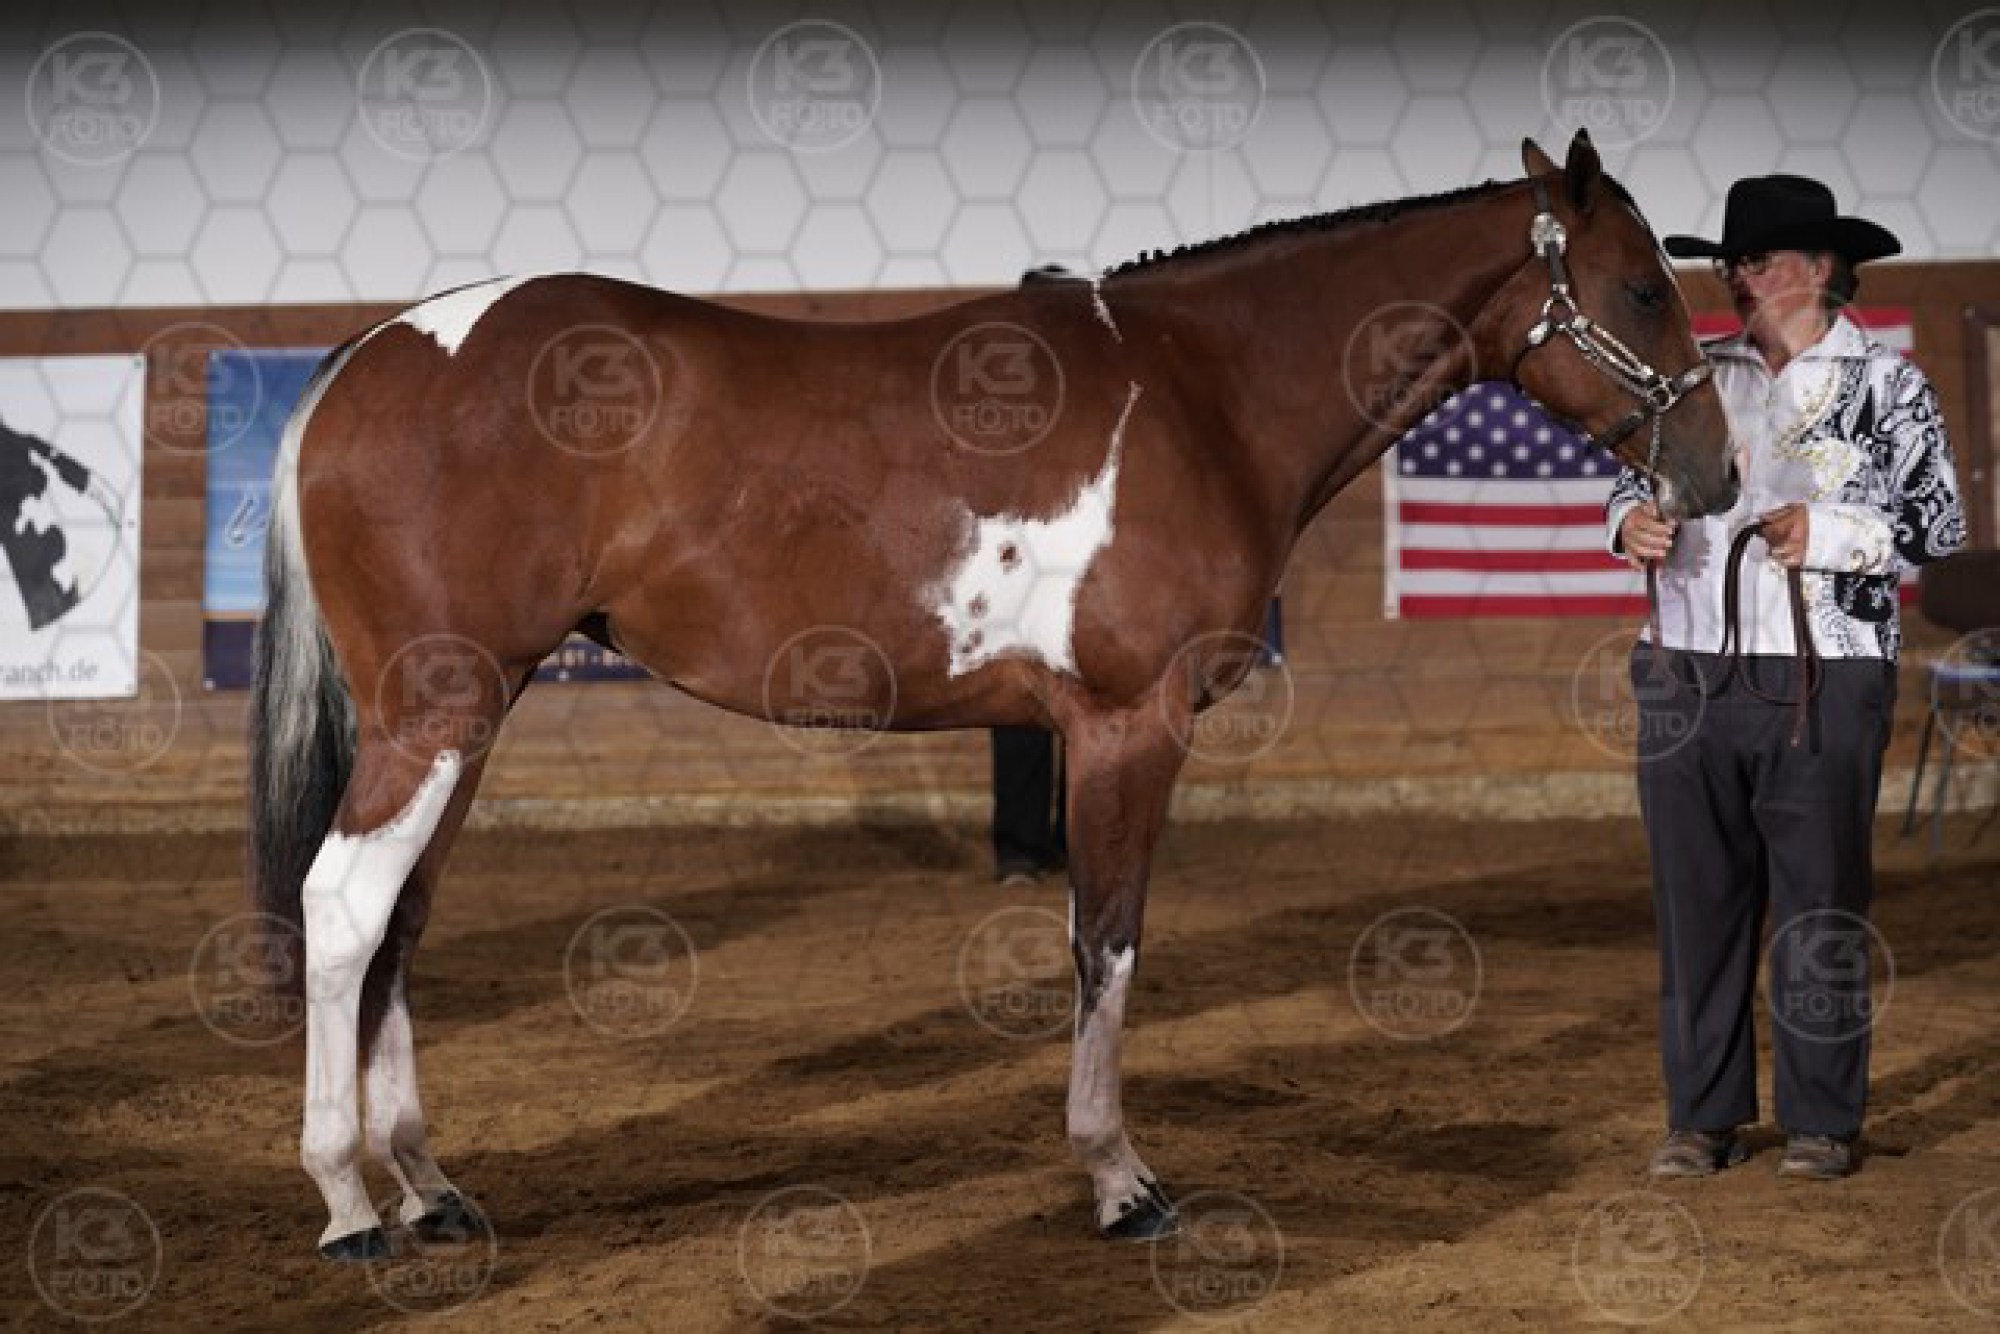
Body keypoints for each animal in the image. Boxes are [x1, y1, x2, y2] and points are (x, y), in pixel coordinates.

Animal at [248, 130, 1738, 1261]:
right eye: (1641, 288)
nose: (1717, 473)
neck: (1199, 392)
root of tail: (366, 353)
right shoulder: (1128, 726)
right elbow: (1107, 945)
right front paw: (1121, 1179)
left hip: (467, 712)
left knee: (400, 921)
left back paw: (430, 1188)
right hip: (439, 707)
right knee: (344, 907)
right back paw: (346, 1202)